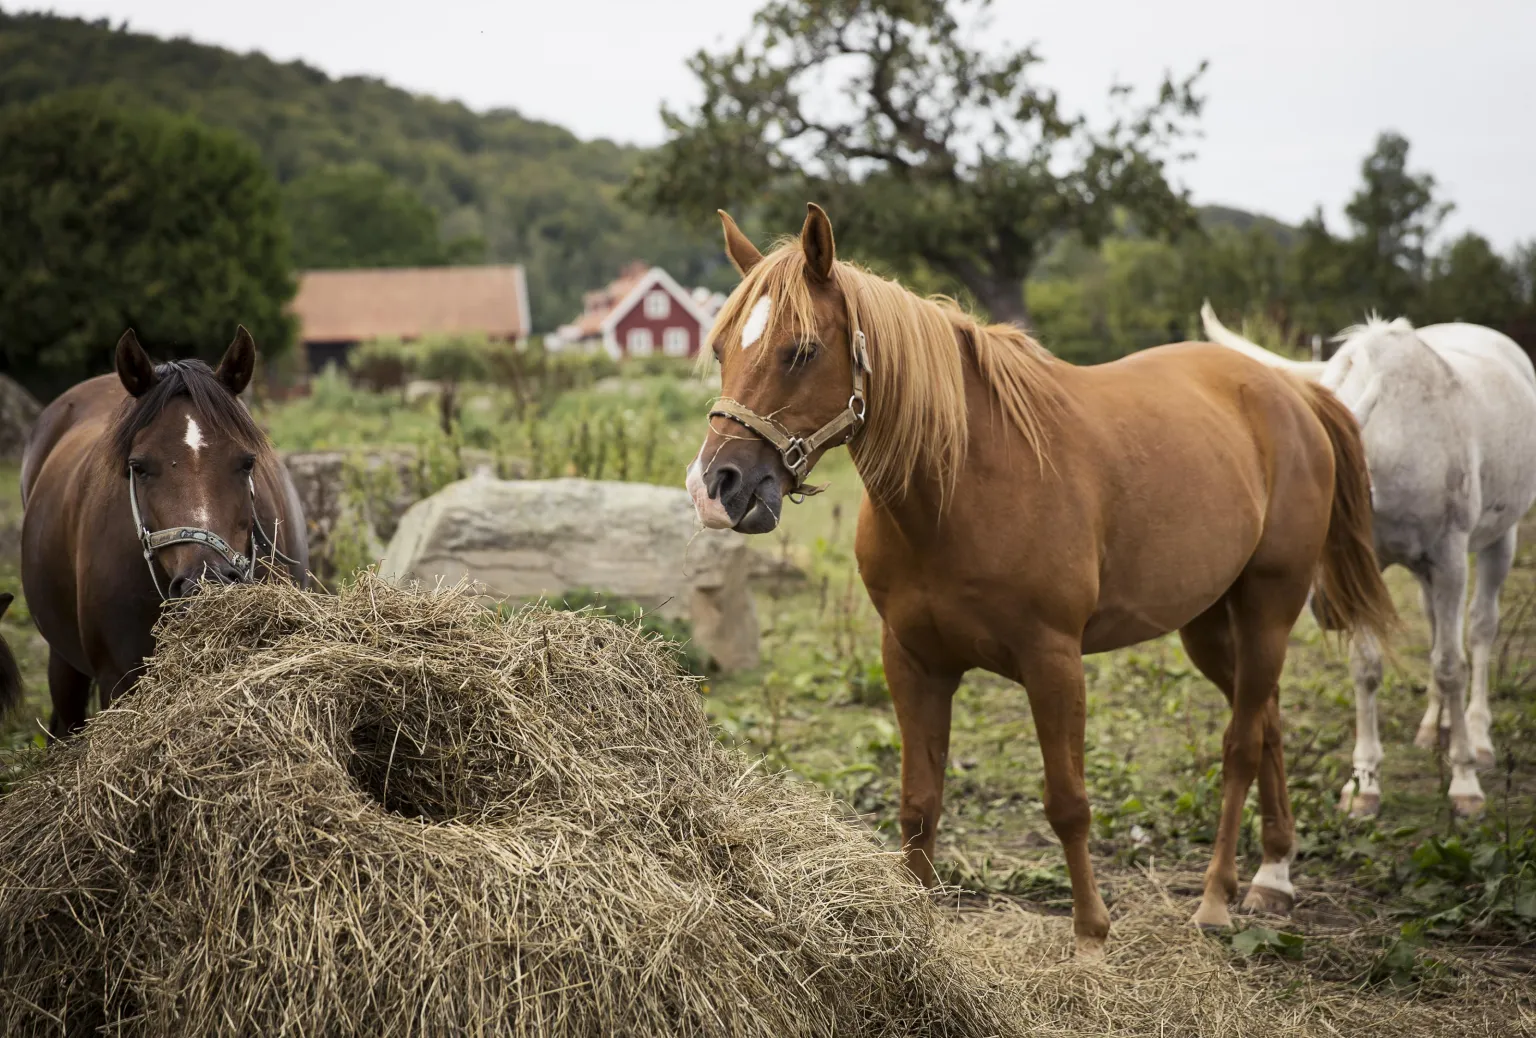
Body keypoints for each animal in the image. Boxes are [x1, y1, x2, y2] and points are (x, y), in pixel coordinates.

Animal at [685, 204, 1395, 957]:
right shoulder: (913, 661)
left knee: (1239, 745)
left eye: (800, 351)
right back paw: (1273, 874)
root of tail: (1292, 391)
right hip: (1207, 624)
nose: (714, 487)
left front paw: (1090, 939)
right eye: (722, 348)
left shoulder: (1053, 661)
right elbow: (919, 802)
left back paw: (1215, 897)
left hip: (1269, 607)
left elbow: (1068, 803)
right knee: (1267, 725)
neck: (961, 484)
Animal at [1201, 303, 1536, 817]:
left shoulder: (1448, 556)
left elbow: (1450, 665)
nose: (1326, 611)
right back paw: (1433, 725)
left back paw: (1478, 737)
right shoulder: (1367, 570)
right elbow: (1367, 668)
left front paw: (1464, 782)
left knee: (1479, 629)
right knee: (1436, 625)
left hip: (1499, 539)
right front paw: (1364, 782)